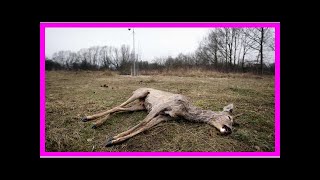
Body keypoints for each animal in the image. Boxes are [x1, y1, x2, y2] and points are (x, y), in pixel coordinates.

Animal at [81, 87, 241, 146]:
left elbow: (144, 127)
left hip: (140, 106)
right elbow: (142, 123)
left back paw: (95, 122)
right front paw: (114, 138)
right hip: (139, 93)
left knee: (119, 109)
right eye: (230, 118)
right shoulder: (161, 106)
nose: (230, 130)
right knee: (117, 106)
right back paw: (88, 118)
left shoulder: (165, 117)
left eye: (233, 122)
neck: (186, 110)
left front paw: (114, 140)